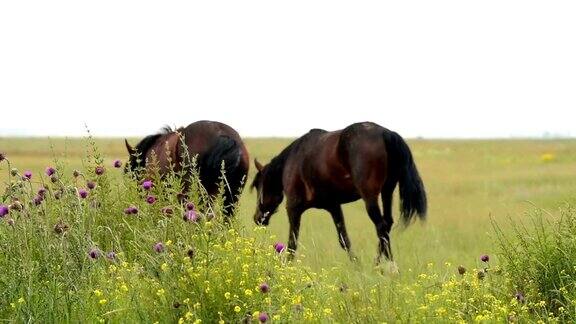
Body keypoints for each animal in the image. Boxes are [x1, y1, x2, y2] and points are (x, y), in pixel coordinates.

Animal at [252, 121, 428, 264]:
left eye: (258, 186)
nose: (257, 218)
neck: (292, 161)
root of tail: (386, 134)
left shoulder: (293, 208)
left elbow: (292, 243)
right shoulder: (333, 206)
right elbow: (344, 240)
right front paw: (357, 266)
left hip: (370, 196)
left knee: (381, 226)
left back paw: (385, 267)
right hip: (387, 191)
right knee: (387, 224)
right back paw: (380, 265)